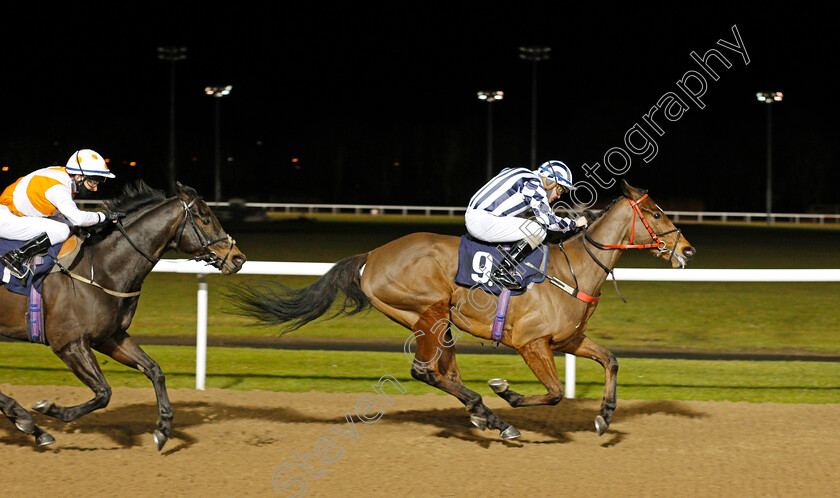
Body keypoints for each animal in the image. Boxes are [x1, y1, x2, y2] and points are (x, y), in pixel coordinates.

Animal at [0, 181, 248, 450]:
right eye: (205, 219)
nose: (238, 258)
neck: (99, 268)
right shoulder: (69, 343)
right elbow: (104, 392)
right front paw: (51, 409)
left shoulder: (111, 337)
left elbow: (154, 369)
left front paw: (163, 428)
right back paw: (27, 421)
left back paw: (26, 422)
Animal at [231, 181, 696, 438]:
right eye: (656, 213)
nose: (688, 250)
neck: (574, 270)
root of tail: (373, 256)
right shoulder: (532, 344)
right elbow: (553, 393)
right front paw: (507, 392)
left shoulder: (569, 340)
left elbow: (611, 360)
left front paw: (604, 417)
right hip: (429, 310)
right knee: (425, 371)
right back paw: (491, 415)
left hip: (434, 322)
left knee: (443, 373)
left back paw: (485, 416)